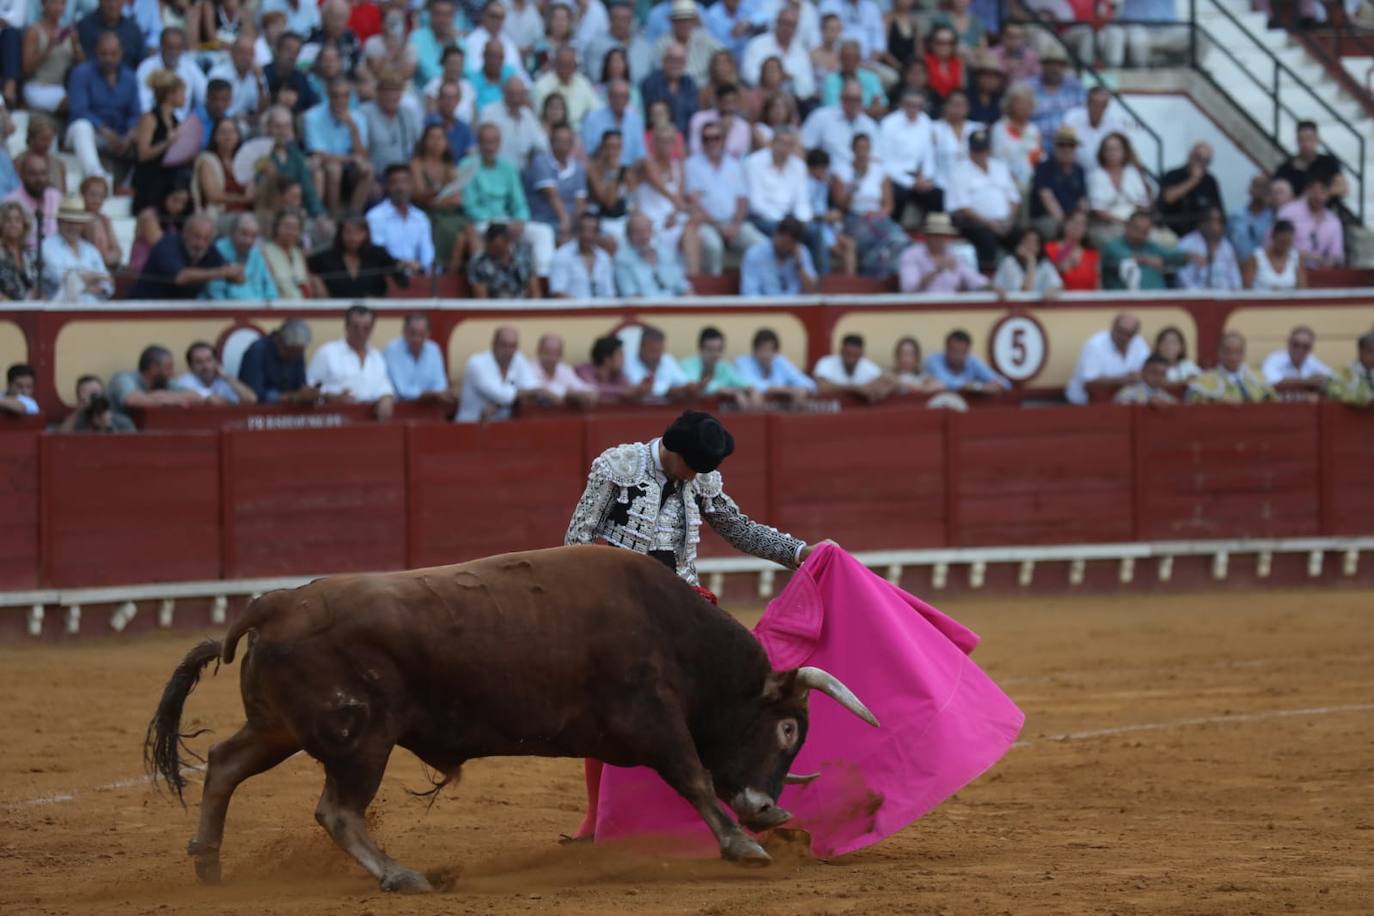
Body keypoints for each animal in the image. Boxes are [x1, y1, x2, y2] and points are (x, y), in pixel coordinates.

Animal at [144, 543, 873, 889]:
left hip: (282, 728)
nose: (767, 808)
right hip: (361, 739)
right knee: (337, 811)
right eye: (787, 728)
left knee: (224, 764)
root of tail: (273, 604)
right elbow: (693, 778)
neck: (674, 631)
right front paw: (742, 847)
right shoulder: (653, 721)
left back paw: (207, 863)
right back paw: (404, 877)